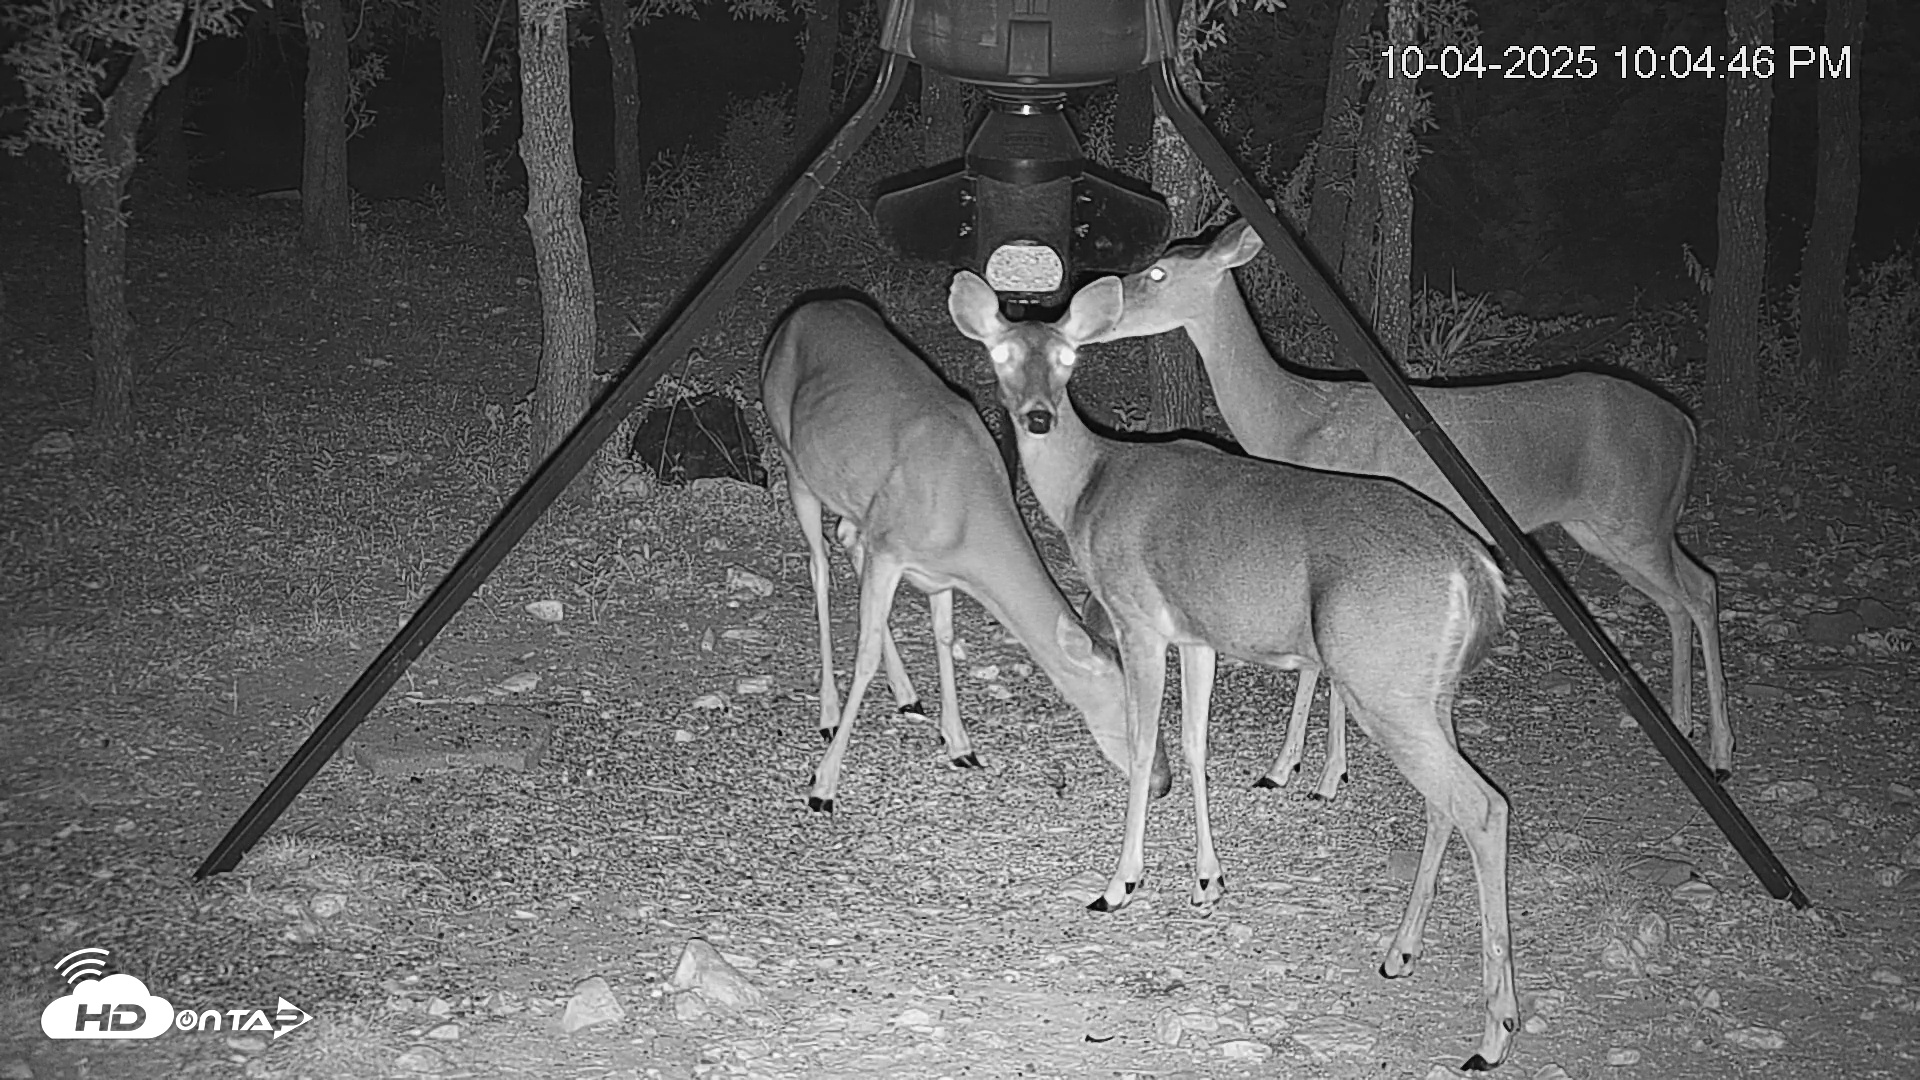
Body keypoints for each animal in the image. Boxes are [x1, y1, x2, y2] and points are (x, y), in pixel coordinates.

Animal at [760, 295, 1171, 813]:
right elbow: (865, 654)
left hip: (857, 501)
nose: (1163, 783)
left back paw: (907, 694)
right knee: (818, 564)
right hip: (791, 456)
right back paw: (829, 715)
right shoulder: (891, 548)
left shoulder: (935, 569)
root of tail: (803, 309)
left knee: (847, 537)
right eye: (1131, 711)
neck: (965, 514)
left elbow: (944, 636)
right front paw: (823, 786)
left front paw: (959, 744)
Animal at [950, 271, 1518, 1071]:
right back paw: (1399, 955)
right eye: (1002, 351)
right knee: (1450, 804)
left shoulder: (1138, 618)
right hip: (1428, 693)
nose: (1035, 417)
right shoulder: (1198, 635)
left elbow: (1146, 746)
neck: (1092, 483)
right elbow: (1194, 743)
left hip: (1383, 684)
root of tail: (1477, 569)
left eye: (1067, 357)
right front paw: (1207, 882)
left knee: (1484, 806)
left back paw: (1493, 1033)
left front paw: (1120, 884)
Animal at [1090, 220, 1728, 788]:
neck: (1297, 422)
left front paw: (1319, 773)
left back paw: (1718, 749)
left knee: (1695, 593)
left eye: (1158, 271)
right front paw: (1293, 768)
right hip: (1618, 526)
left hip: (1632, 521)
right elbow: (1316, 662)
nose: (1099, 302)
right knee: (1692, 591)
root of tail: (1687, 427)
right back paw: (1689, 726)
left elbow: (1323, 665)